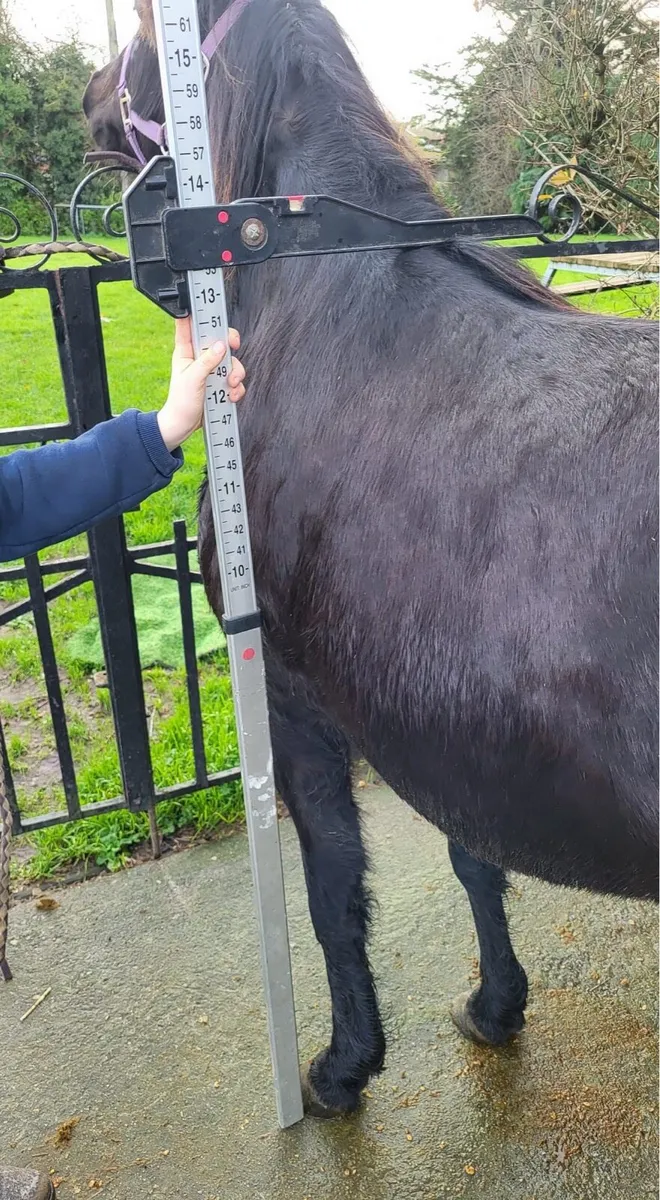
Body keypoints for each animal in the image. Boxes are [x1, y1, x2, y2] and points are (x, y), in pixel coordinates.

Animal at [83, 0, 659, 1118]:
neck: (329, 292)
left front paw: (345, 1063)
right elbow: (474, 856)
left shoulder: (299, 697)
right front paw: (495, 1005)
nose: (87, 102)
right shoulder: (448, 713)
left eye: (130, 32)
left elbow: (332, 889)